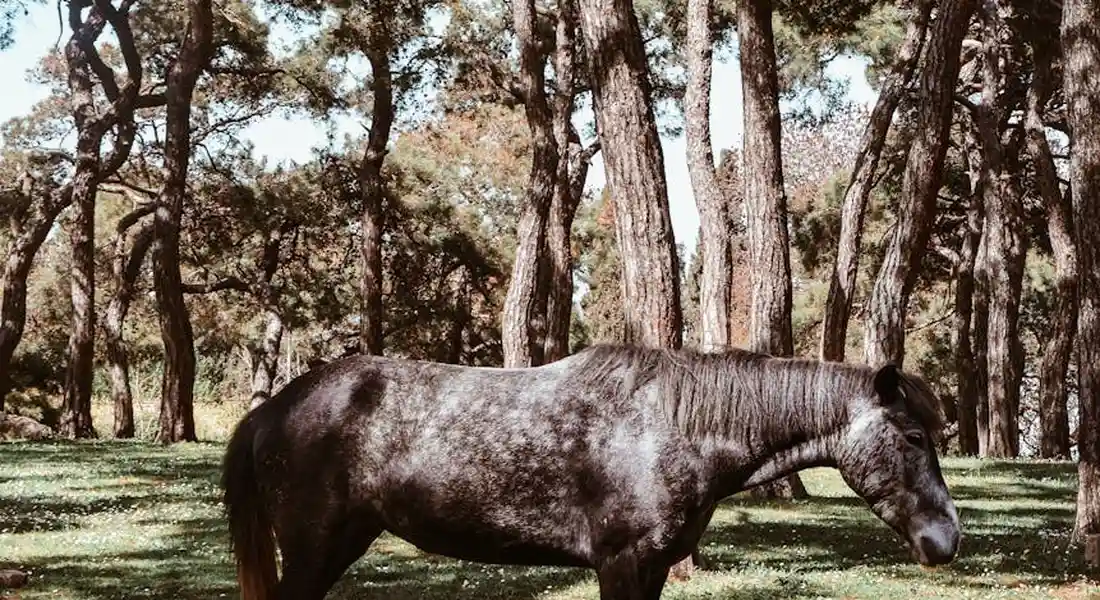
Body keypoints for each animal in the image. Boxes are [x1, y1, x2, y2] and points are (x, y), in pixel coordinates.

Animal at [221, 344, 960, 600]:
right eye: (913, 435)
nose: (946, 540)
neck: (670, 426)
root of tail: (272, 410)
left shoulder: (653, 567)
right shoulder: (621, 562)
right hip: (314, 550)